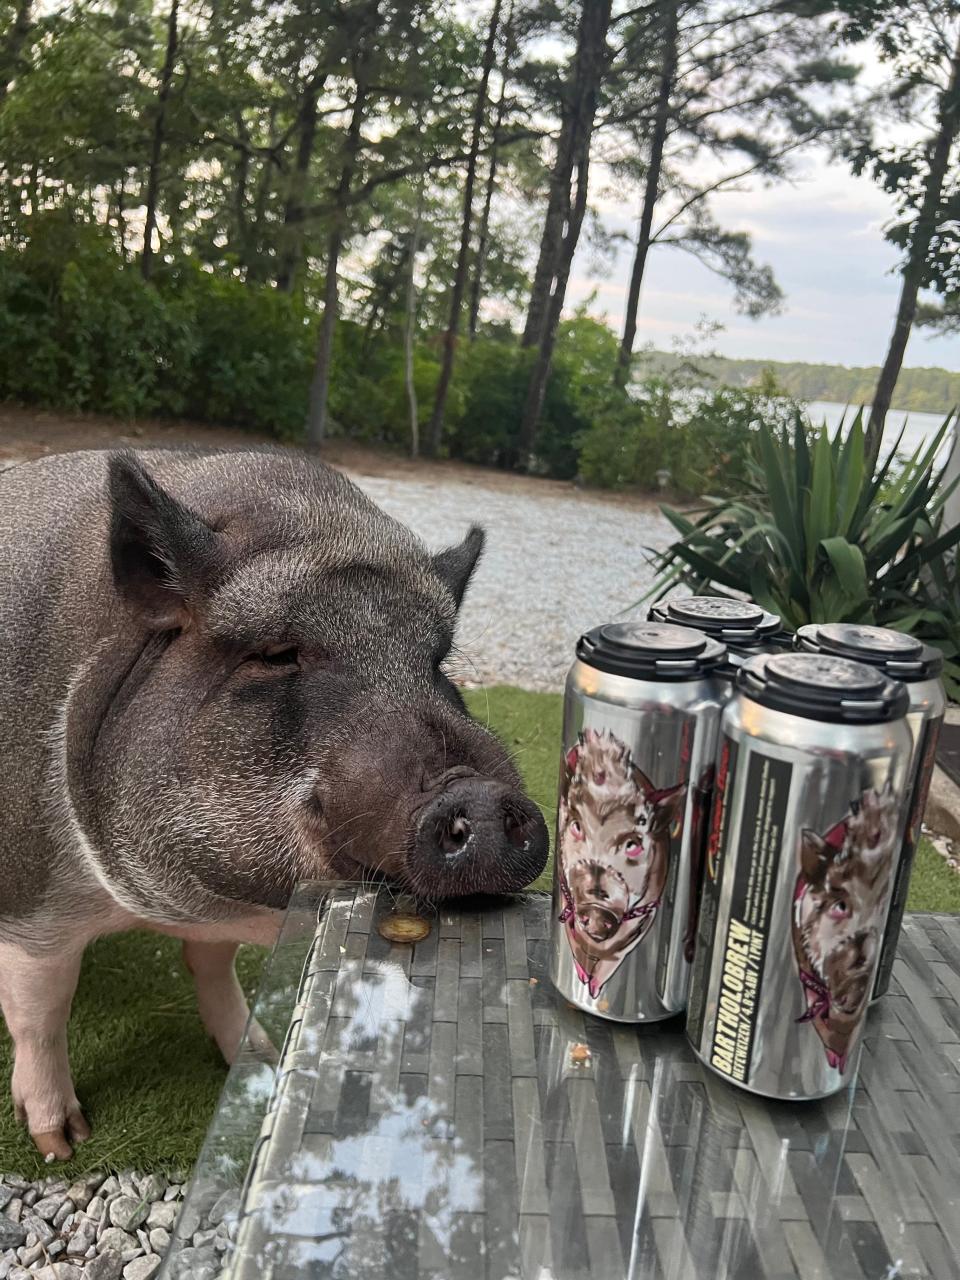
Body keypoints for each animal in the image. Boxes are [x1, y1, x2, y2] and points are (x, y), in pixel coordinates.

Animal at [0, 450, 547, 1162]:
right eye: (277, 653)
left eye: (436, 663)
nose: (477, 793)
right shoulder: (28, 898)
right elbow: (41, 1009)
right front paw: (63, 1143)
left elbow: (213, 965)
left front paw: (256, 1055)